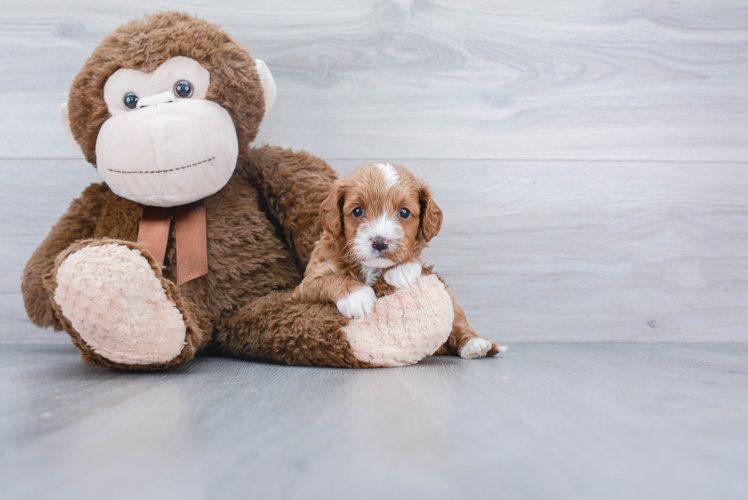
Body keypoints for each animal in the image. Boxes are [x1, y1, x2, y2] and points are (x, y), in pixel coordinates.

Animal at [290, 162, 502, 358]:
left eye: (404, 212)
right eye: (357, 211)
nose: (380, 242)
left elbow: (414, 254)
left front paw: (402, 269)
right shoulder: (305, 285)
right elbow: (330, 279)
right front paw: (358, 297)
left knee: (458, 321)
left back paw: (474, 344)